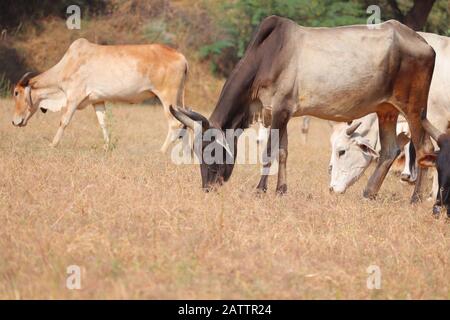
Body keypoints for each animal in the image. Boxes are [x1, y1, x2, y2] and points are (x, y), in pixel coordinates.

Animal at [12, 38, 188, 152]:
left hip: (167, 98)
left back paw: (162, 151)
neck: (68, 64)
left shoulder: (73, 98)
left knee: (175, 124)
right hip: (177, 100)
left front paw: (52, 145)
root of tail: (181, 57)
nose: (14, 121)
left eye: (16, 93)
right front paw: (106, 147)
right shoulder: (97, 101)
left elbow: (63, 121)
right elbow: (103, 123)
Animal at [167, 15, 434, 202]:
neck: (267, 56)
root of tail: (425, 45)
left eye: (211, 150)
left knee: (424, 148)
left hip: (413, 109)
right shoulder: (281, 114)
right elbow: (283, 151)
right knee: (389, 151)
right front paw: (281, 190)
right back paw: (368, 193)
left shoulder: (280, 110)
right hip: (386, 109)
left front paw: (260, 189)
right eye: (195, 151)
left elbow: (269, 151)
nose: (208, 188)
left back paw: (416, 199)